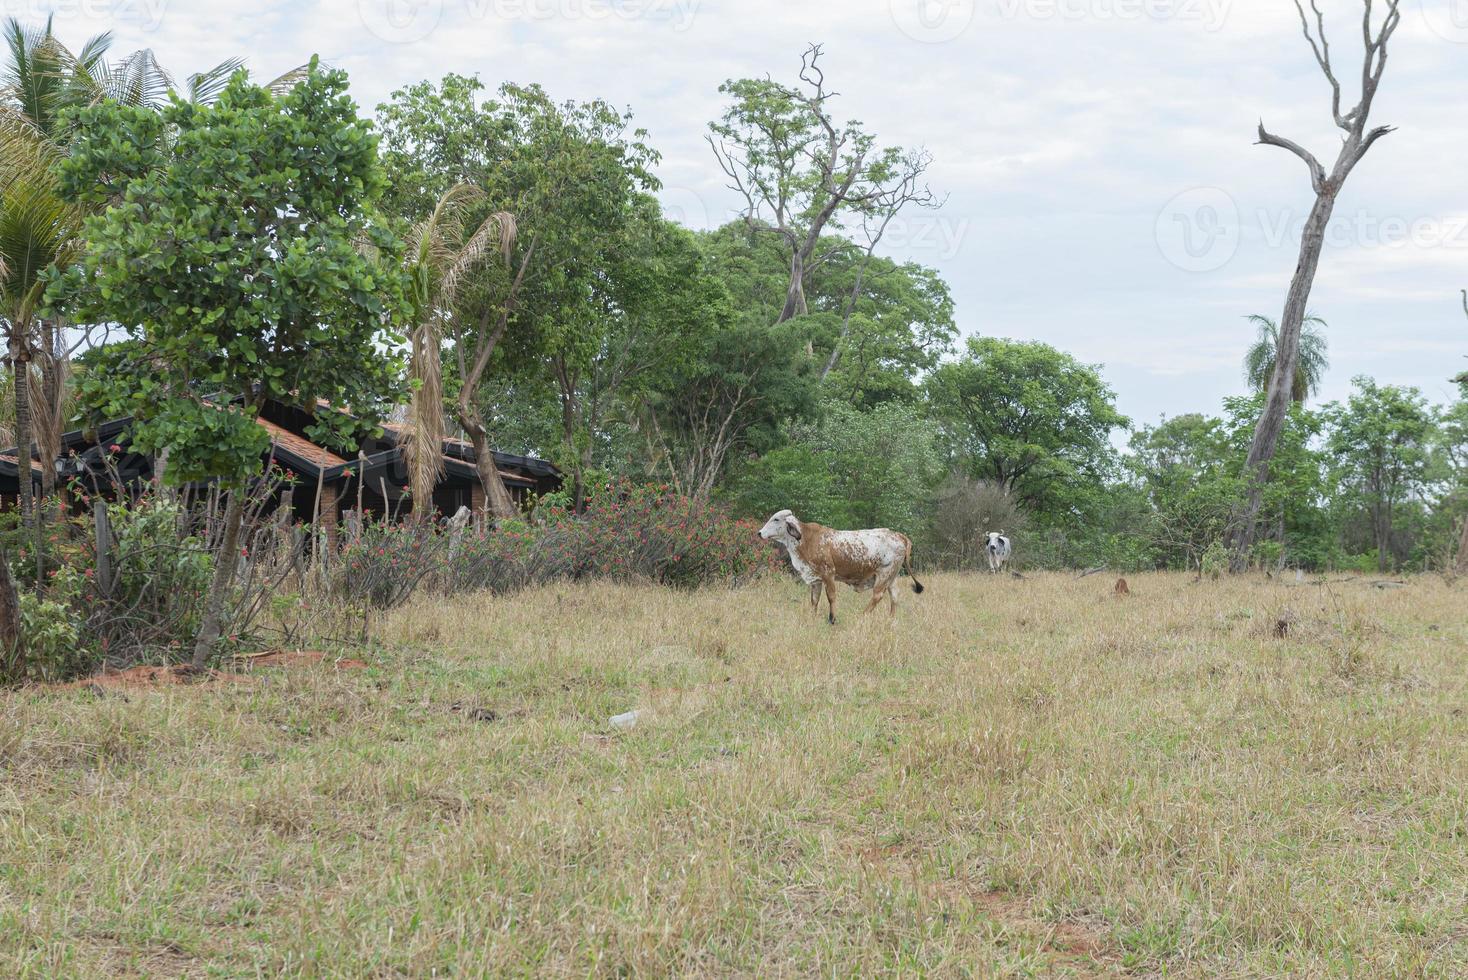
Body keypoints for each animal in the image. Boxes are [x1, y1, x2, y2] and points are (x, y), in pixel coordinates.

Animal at [763, 510, 921, 624]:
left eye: (776, 519)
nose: (760, 532)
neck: (807, 539)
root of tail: (901, 536)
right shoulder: (816, 579)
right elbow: (814, 600)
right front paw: (812, 617)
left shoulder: (828, 573)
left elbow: (831, 597)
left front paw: (832, 619)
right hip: (892, 576)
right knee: (894, 596)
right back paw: (891, 619)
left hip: (884, 574)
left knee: (878, 596)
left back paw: (862, 615)